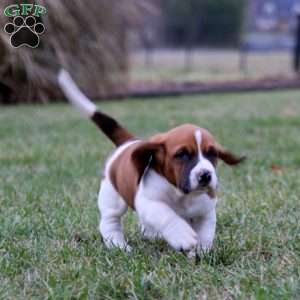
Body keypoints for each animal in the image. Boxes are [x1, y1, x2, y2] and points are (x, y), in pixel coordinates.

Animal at [57, 69, 245, 253]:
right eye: (182, 154)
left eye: (212, 154)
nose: (205, 175)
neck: (181, 195)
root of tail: (129, 142)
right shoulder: (148, 203)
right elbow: (167, 215)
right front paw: (182, 236)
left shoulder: (206, 210)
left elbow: (206, 232)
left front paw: (200, 251)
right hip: (112, 198)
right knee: (110, 222)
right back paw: (118, 245)